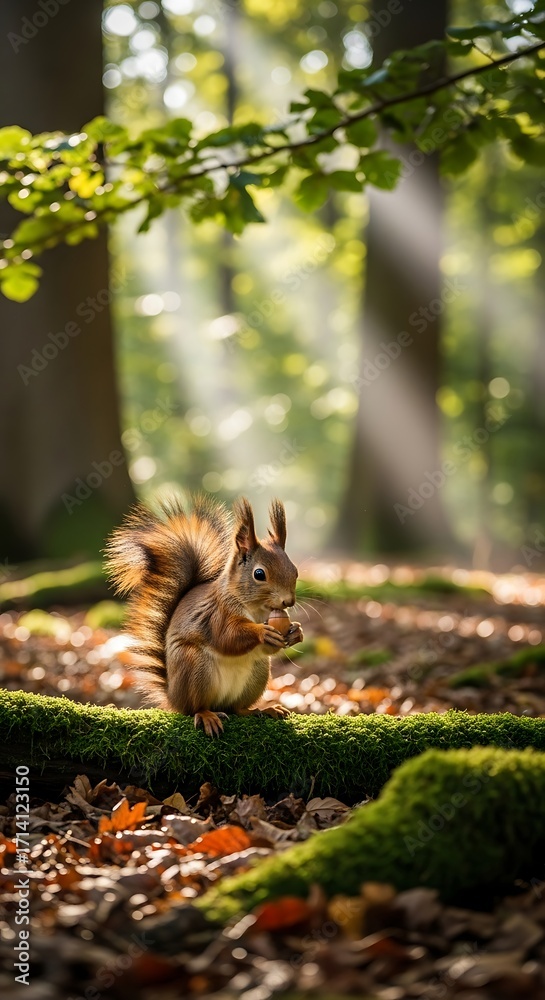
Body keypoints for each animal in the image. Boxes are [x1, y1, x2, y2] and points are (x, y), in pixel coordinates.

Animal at [105, 494, 303, 736]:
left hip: (258, 672)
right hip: (194, 666)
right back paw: (207, 715)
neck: (256, 609)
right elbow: (227, 637)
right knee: (195, 708)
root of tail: (173, 697)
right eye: (259, 574)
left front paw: (296, 632)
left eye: (295, 571)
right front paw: (262, 632)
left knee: (237, 708)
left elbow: (269, 648)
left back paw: (262, 709)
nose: (288, 602)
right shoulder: (216, 613)